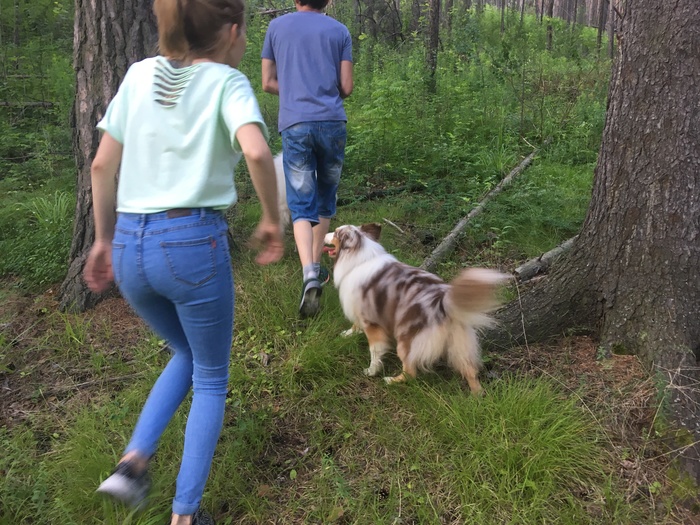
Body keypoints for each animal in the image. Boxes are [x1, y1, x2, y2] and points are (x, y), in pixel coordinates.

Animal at [322, 222, 508, 392]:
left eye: (336, 233)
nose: (324, 234)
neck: (360, 257)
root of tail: (442, 302)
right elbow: (355, 325)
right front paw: (347, 334)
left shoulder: (370, 321)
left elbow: (375, 351)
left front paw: (371, 371)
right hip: (458, 342)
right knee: (470, 370)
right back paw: (477, 396)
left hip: (406, 341)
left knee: (410, 373)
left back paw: (391, 380)